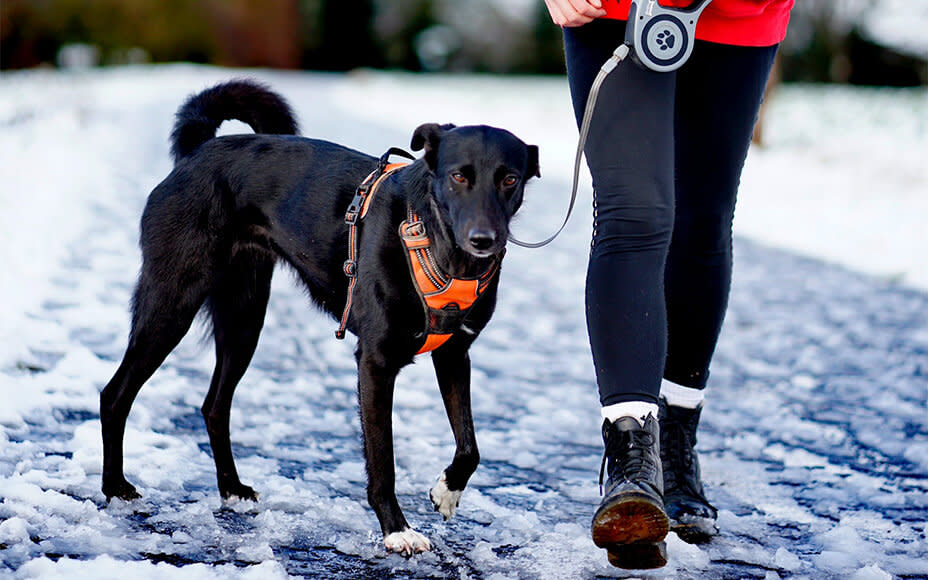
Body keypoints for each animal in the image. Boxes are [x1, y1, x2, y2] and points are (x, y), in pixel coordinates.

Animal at [99, 79, 540, 556]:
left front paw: (447, 490)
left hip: (244, 320)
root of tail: (200, 151)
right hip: (171, 305)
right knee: (115, 394)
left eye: (510, 179)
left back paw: (231, 489)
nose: (484, 239)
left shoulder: (455, 355)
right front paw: (396, 529)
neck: (434, 242)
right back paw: (115, 488)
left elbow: (470, 445)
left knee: (214, 405)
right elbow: (382, 460)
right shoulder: (375, 363)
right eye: (459, 176)